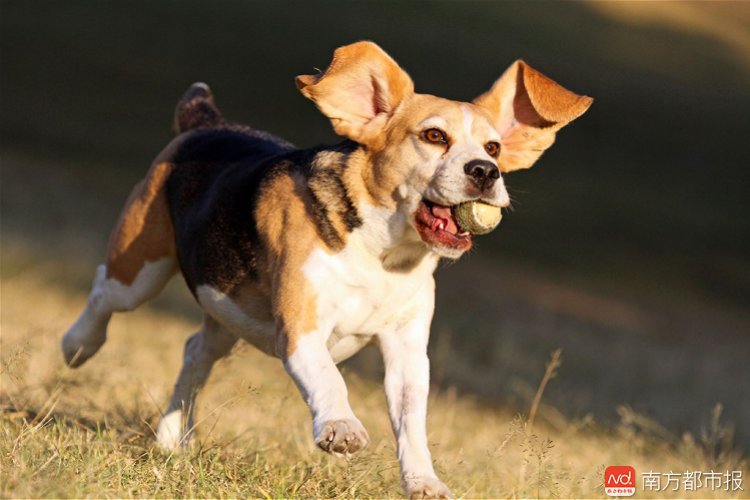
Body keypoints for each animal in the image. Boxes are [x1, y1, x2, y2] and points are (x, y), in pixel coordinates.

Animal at [61, 41, 592, 498]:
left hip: (226, 308)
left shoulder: (407, 351)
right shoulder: (301, 330)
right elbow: (329, 380)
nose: (485, 172)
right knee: (103, 293)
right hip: (140, 268)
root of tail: (207, 121)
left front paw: (424, 482)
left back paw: (173, 439)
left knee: (195, 351)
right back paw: (78, 345)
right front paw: (341, 428)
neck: (383, 254)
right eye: (434, 136)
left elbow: (412, 421)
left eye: (494, 148)